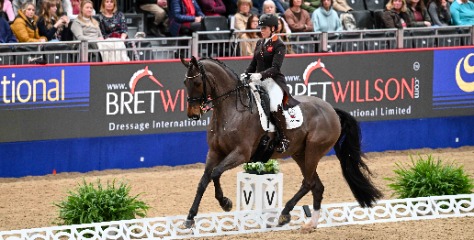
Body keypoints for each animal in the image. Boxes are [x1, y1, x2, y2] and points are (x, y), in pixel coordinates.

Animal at [180, 56, 384, 231]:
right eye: (185, 83)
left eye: (197, 83)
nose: (193, 114)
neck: (231, 110)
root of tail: (331, 110)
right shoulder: (214, 152)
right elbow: (204, 180)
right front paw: (190, 218)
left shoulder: (241, 153)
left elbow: (215, 173)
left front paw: (225, 203)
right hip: (300, 154)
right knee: (317, 186)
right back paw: (311, 224)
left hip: (313, 151)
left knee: (309, 183)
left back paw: (285, 214)